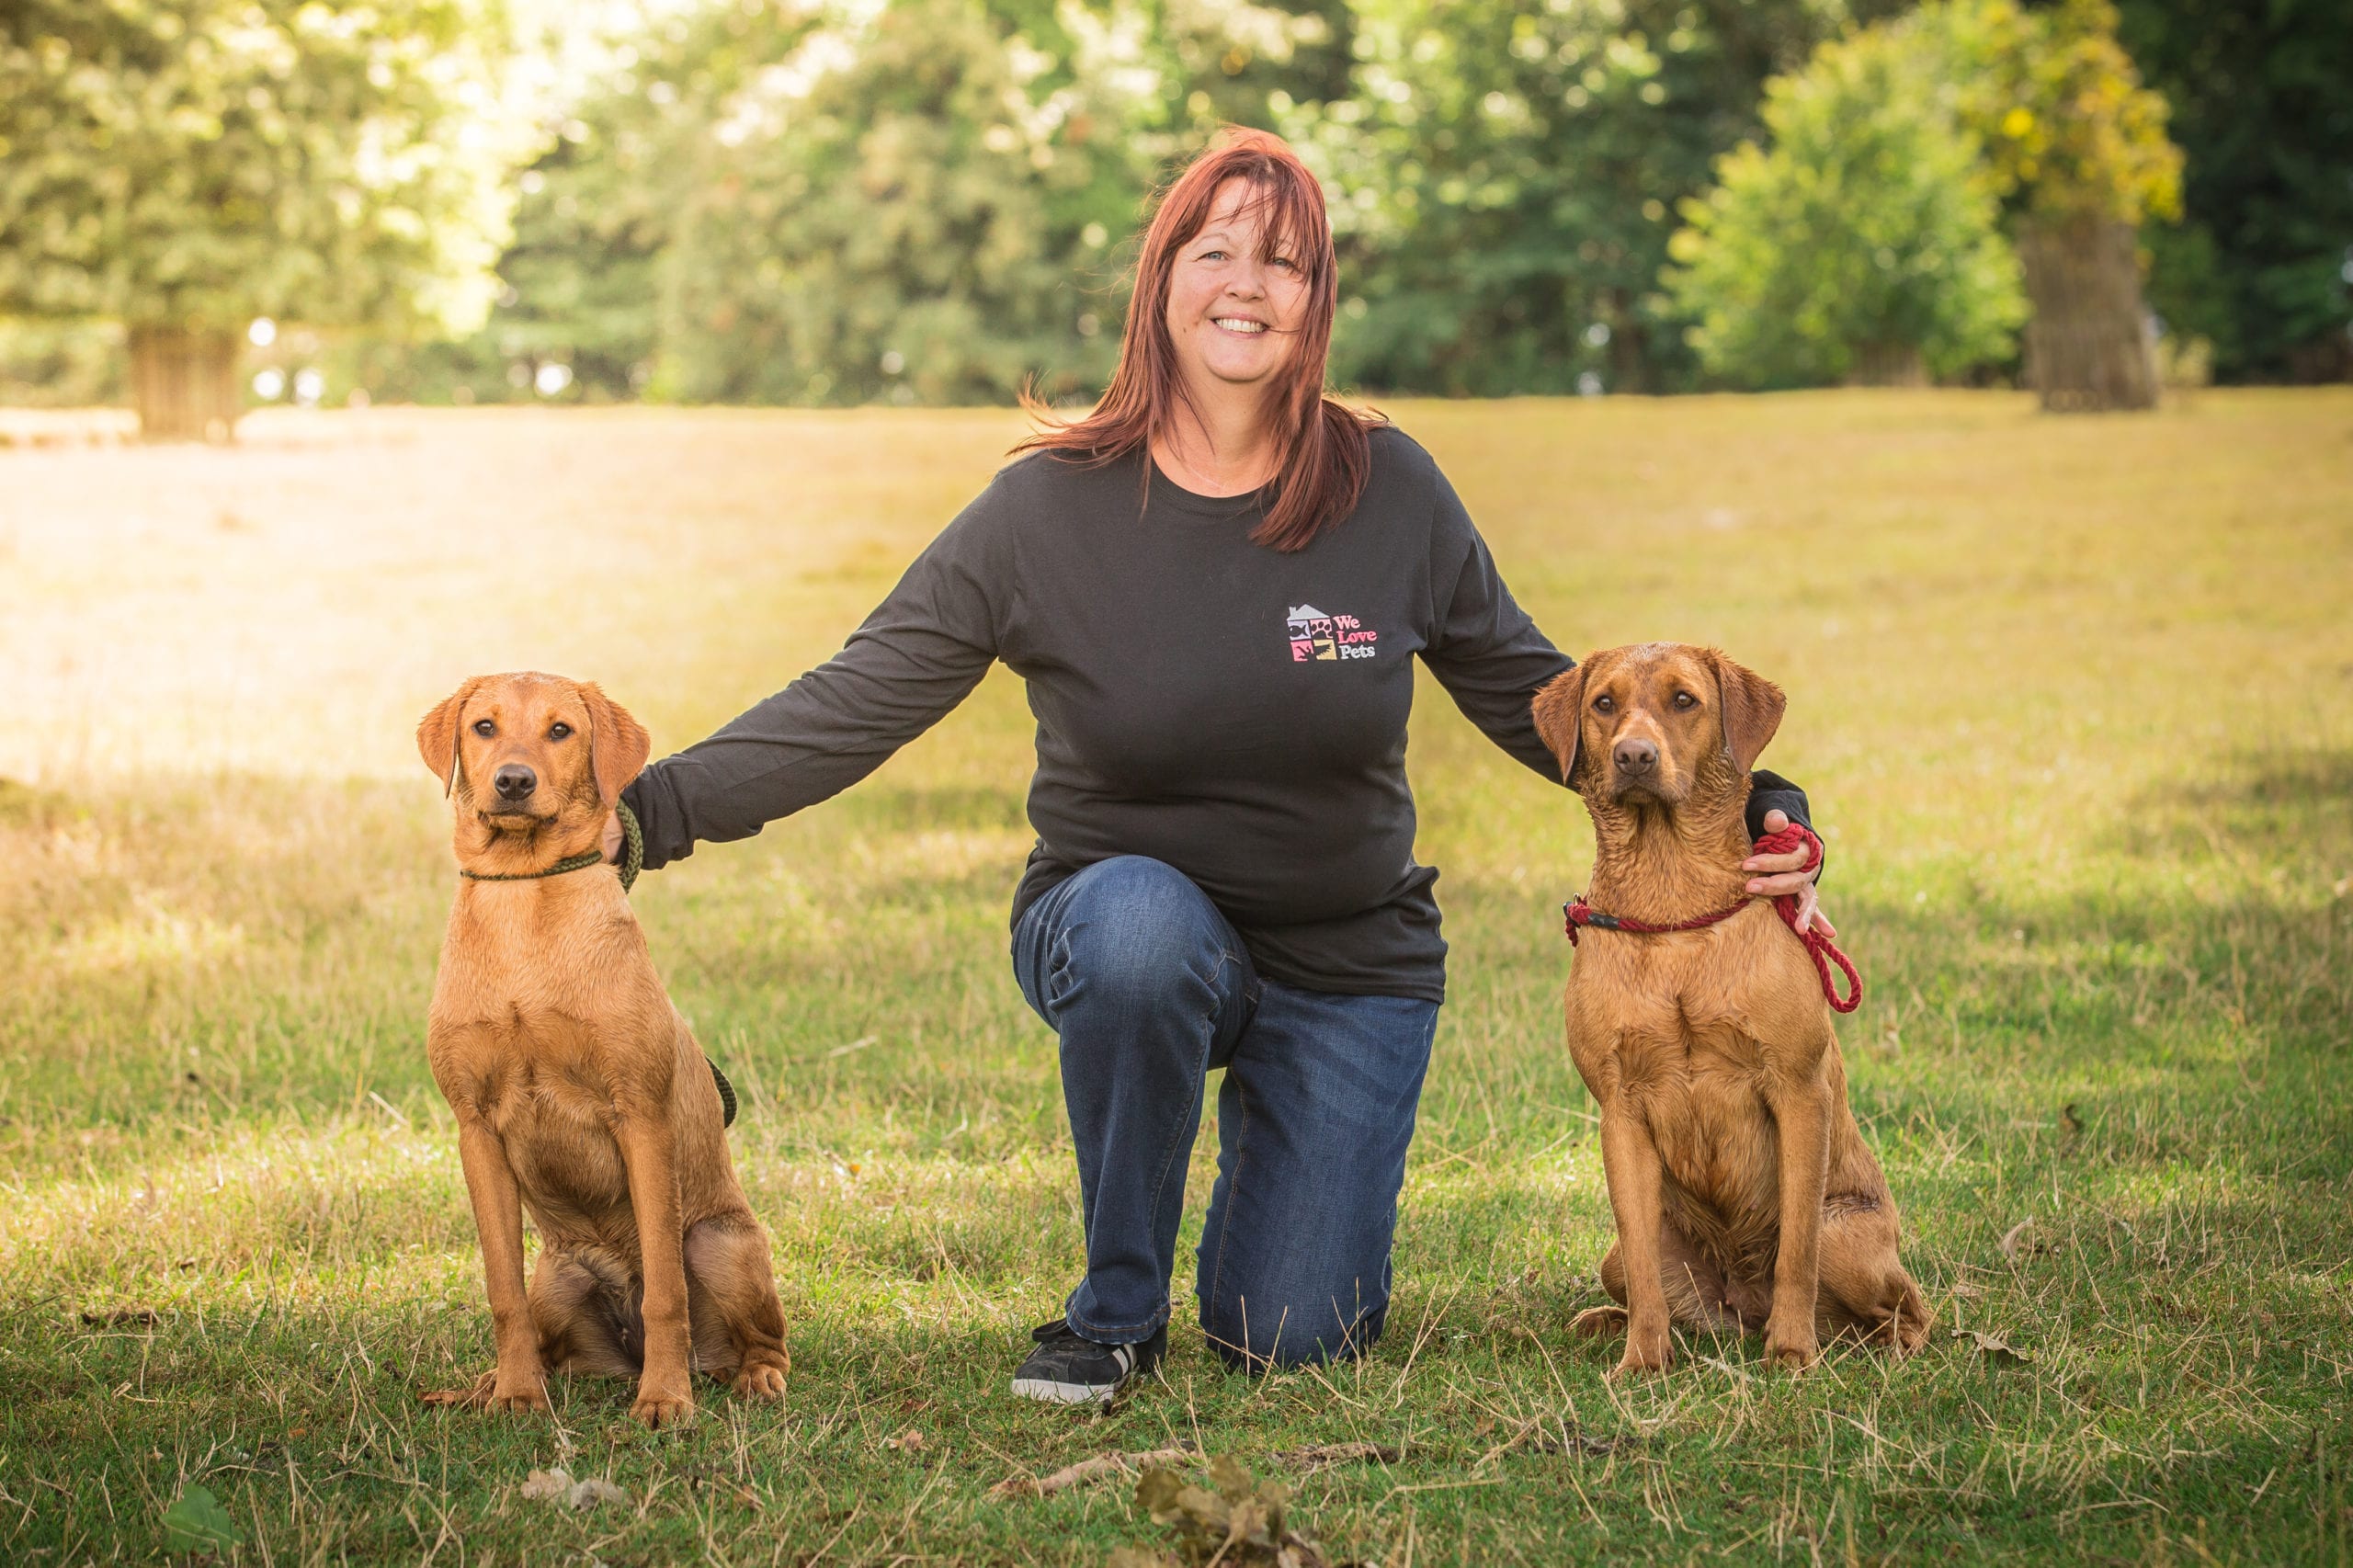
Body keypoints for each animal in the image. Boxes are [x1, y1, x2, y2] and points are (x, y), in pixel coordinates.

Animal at [416, 664, 790, 1422]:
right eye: (484, 726)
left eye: (561, 730)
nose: (514, 782)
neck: (523, 893)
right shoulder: (476, 1131)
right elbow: (501, 1292)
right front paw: (516, 1393)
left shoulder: (641, 1116)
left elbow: (668, 1294)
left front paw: (666, 1400)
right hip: (558, 1278)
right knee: (549, 1337)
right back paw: (488, 1384)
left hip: (720, 1242)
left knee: (758, 1336)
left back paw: (749, 1376)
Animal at [1524, 640, 1929, 1365]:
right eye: (1604, 703)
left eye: (1684, 699)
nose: (1634, 756)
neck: (1671, 897)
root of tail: (1743, 1303)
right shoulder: (1619, 1108)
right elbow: (1643, 1266)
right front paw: (1643, 1361)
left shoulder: (1797, 1090)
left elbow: (1796, 1248)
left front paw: (1792, 1354)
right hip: (1625, 1258)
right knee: (1641, 1278)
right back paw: (1610, 1322)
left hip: (1849, 1240)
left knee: (1906, 1308)